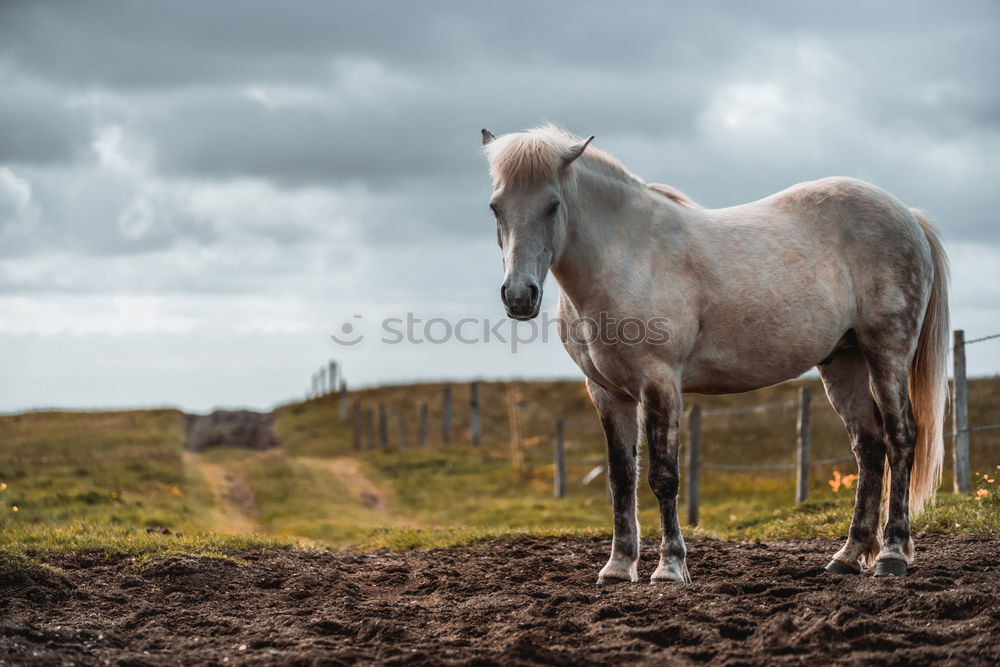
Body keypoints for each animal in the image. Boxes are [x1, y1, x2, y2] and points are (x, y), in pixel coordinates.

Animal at [480, 125, 948, 584]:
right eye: (495, 208)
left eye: (552, 205)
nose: (519, 296)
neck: (627, 257)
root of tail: (909, 216)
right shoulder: (606, 392)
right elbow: (621, 479)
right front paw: (618, 566)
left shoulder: (660, 383)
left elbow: (663, 476)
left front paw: (669, 568)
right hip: (843, 363)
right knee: (869, 448)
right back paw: (848, 557)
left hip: (887, 352)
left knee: (901, 437)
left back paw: (891, 555)